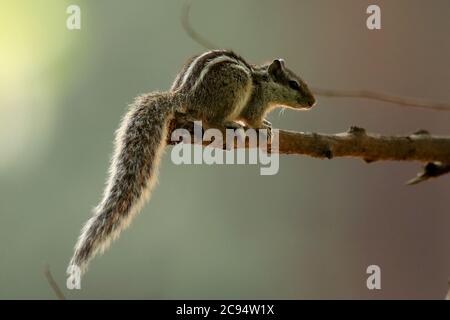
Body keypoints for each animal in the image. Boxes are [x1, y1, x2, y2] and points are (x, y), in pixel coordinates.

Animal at [67, 49, 316, 276]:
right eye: (294, 84)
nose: (313, 102)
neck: (263, 81)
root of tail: (184, 95)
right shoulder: (255, 104)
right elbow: (253, 120)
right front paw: (263, 126)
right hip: (234, 88)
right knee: (210, 119)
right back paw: (229, 124)